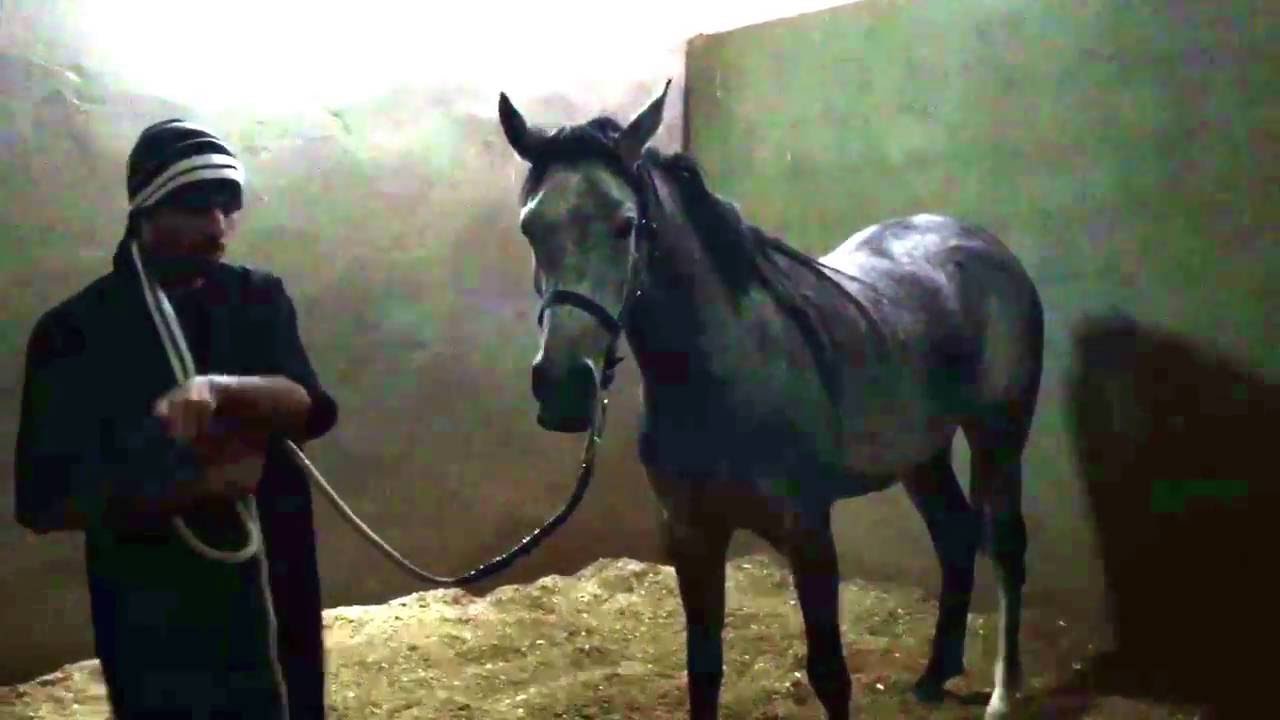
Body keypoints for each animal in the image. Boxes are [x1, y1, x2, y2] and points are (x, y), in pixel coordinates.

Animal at [496, 79, 1045, 720]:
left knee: (1005, 546)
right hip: (922, 452)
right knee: (955, 535)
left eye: (625, 224)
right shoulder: (692, 535)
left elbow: (830, 675)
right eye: (530, 228)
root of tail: (984, 245)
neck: (723, 376)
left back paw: (1004, 695)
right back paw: (935, 676)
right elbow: (703, 671)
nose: (563, 387)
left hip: (999, 434)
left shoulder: (808, 531)